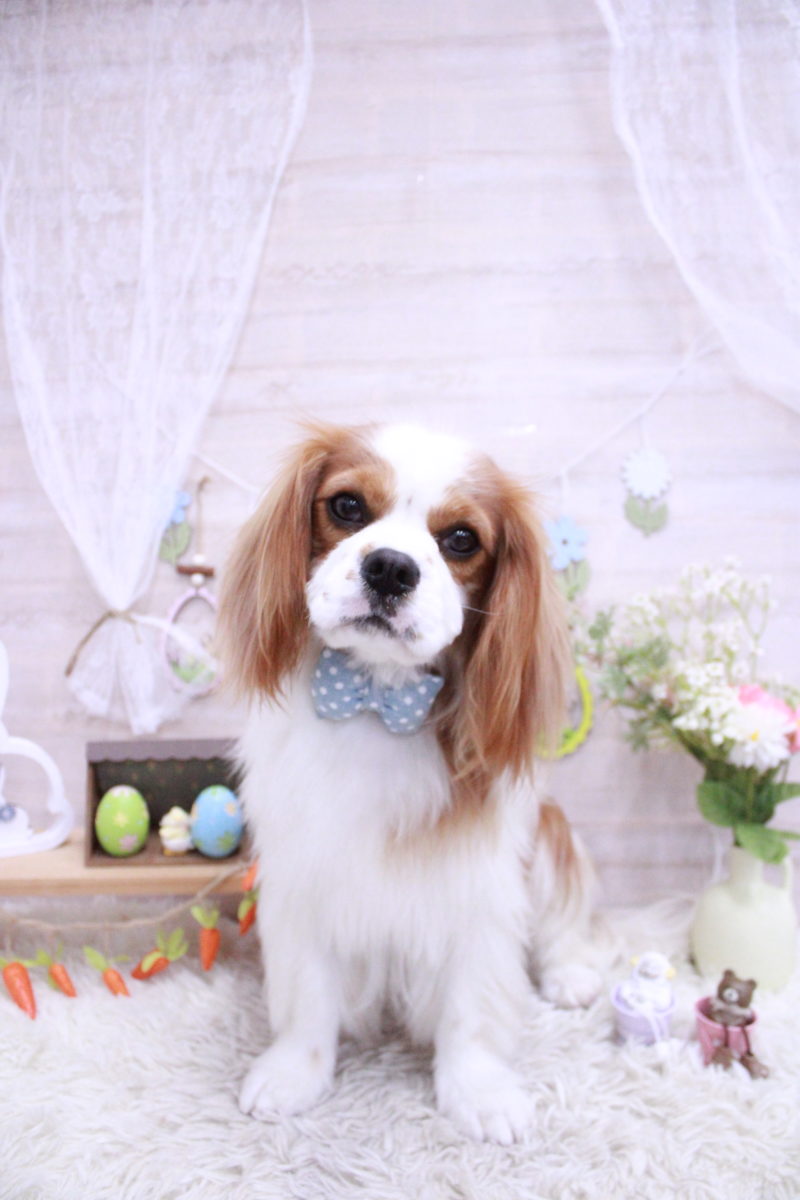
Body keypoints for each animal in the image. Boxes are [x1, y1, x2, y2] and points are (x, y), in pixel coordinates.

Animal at [218, 421, 602, 1144]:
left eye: (462, 540)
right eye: (346, 507)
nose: (391, 567)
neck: (376, 698)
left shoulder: (479, 888)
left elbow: (472, 1008)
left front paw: (477, 1092)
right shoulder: (306, 877)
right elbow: (308, 998)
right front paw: (294, 1074)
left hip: (550, 835)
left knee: (566, 919)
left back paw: (571, 973)